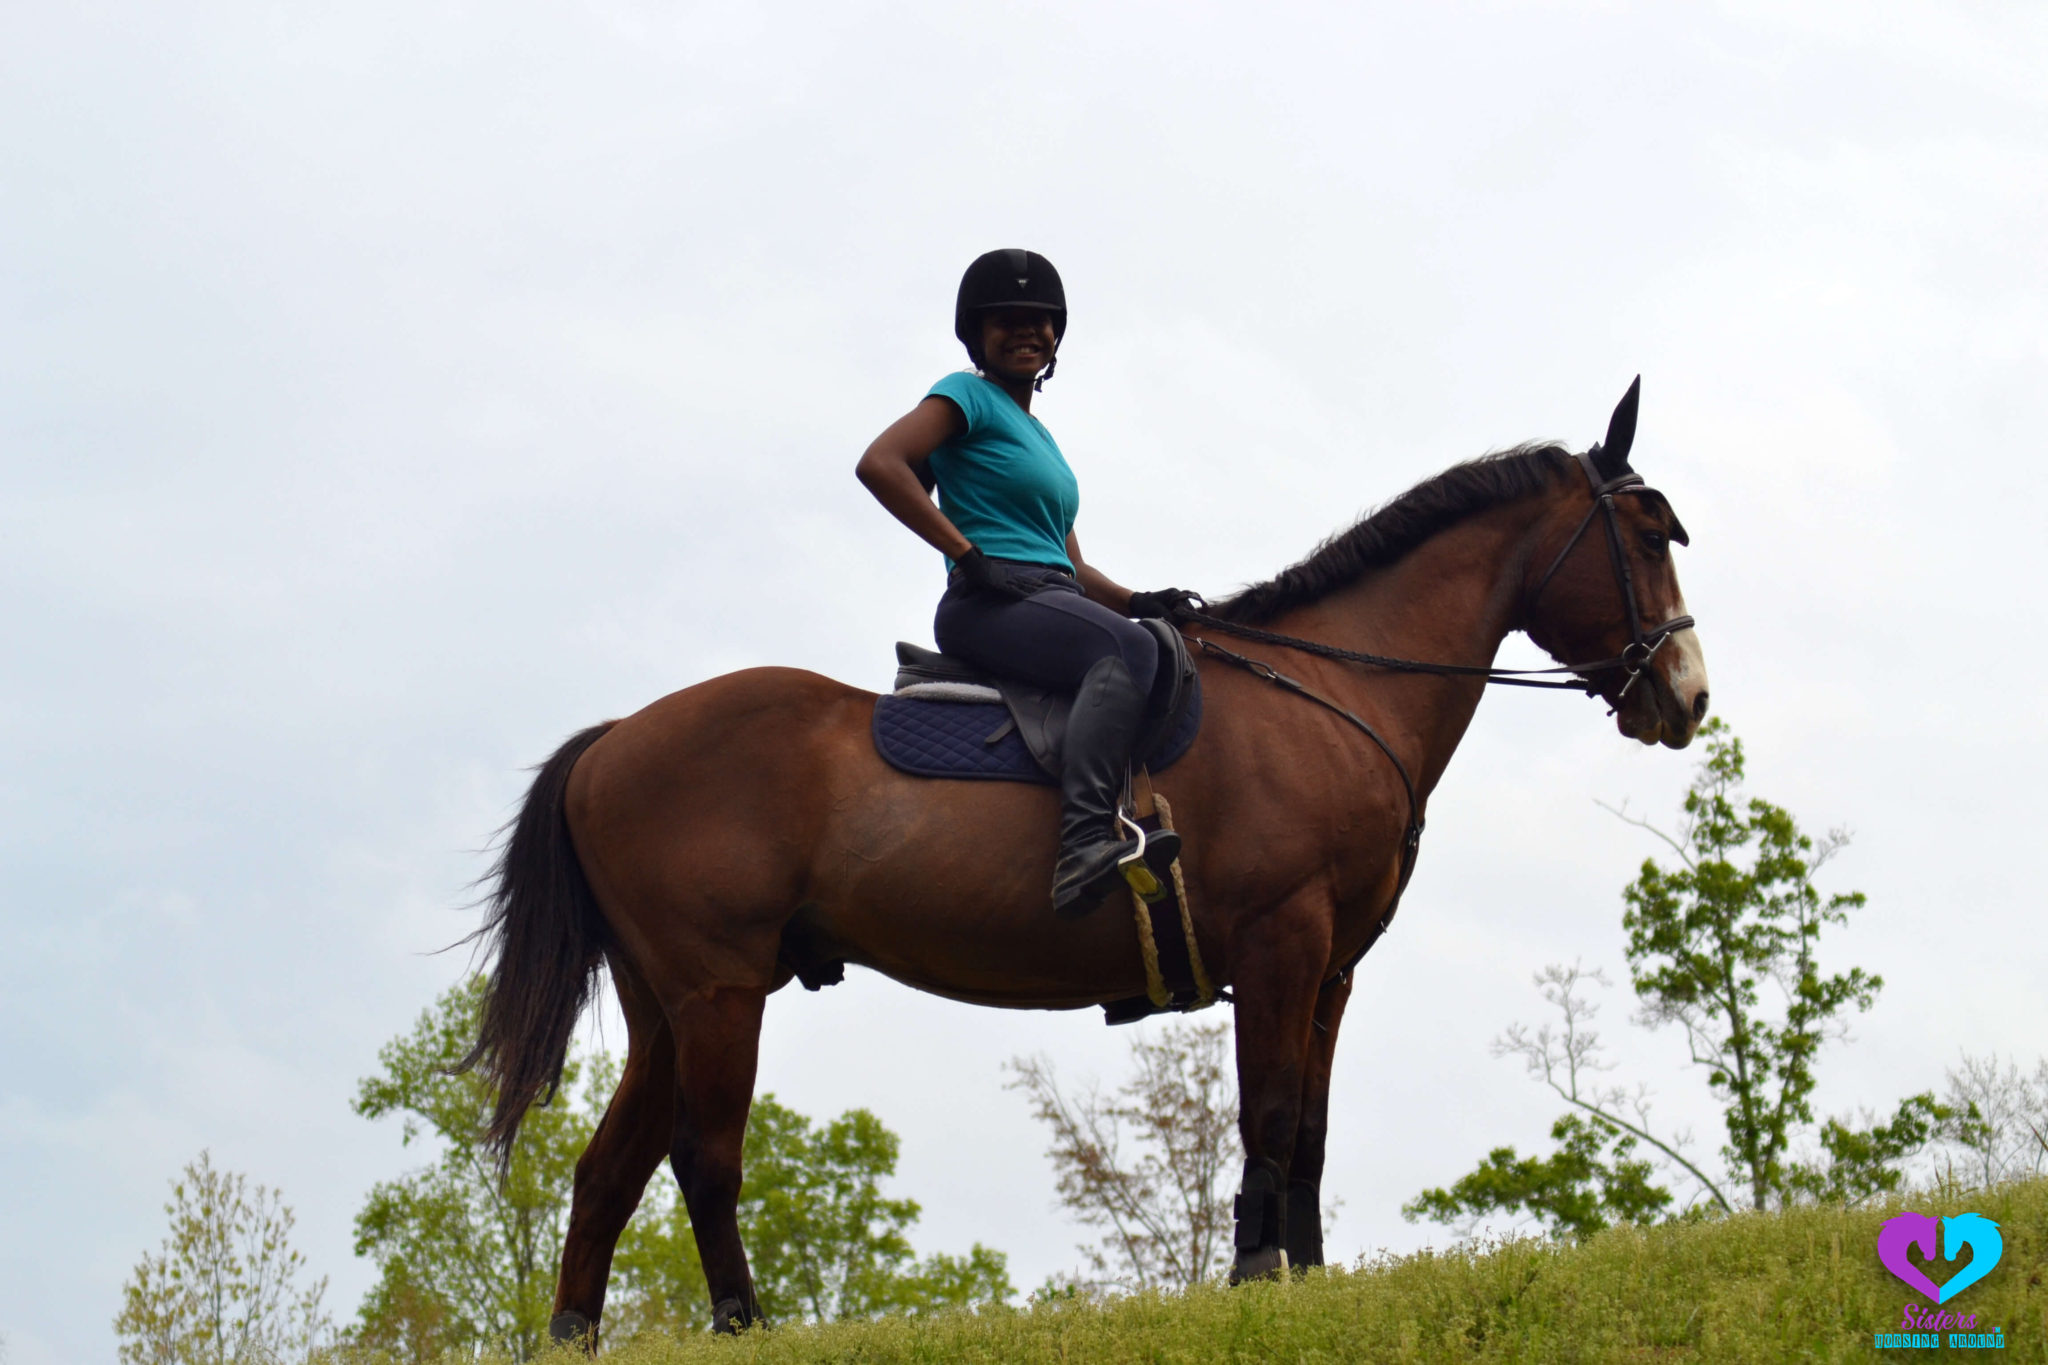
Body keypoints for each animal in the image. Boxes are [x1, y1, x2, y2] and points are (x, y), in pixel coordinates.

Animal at [456, 378, 1703, 1342]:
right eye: (1650, 534)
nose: (1684, 696)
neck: (1332, 692)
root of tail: (614, 738)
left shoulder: (1330, 969)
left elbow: (1308, 1126)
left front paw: (1302, 1282)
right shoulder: (1281, 943)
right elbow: (1268, 1117)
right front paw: (1254, 1280)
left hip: (668, 1001)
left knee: (608, 1170)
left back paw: (574, 1334)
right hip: (718, 992)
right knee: (703, 1158)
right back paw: (742, 1325)